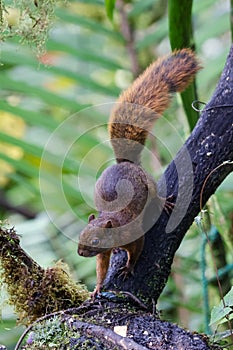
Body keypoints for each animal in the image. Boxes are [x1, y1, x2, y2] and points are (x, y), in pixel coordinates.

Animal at [77, 48, 201, 296]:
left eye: (95, 241)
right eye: (81, 234)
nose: (80, 252)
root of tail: (125, 163)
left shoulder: (134, 237)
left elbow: (137, 251)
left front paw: (127, 268)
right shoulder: (103, 255)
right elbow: (101, 268)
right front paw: (96, 288)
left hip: (147, 182)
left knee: (154, 192)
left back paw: (163, 202)